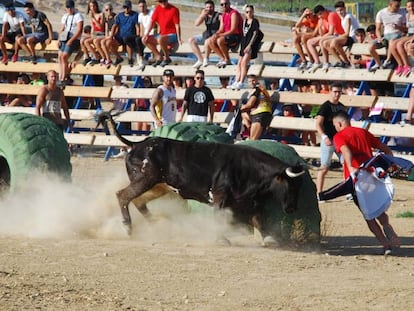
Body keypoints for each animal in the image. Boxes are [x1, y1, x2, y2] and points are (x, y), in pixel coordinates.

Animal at [100, 114, 308, 239]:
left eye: (300, 186)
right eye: (289, 185)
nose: (292, 208)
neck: (249, 169)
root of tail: (137, 144)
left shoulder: (250, 201)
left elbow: (258, 219)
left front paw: (268, 238)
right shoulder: (219, 197)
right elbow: (220, 220)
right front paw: (221, 239)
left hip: (159, 186)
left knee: (138, 201)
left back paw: (158, 224)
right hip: (145, 180)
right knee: (123, 196)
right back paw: (128, 227)